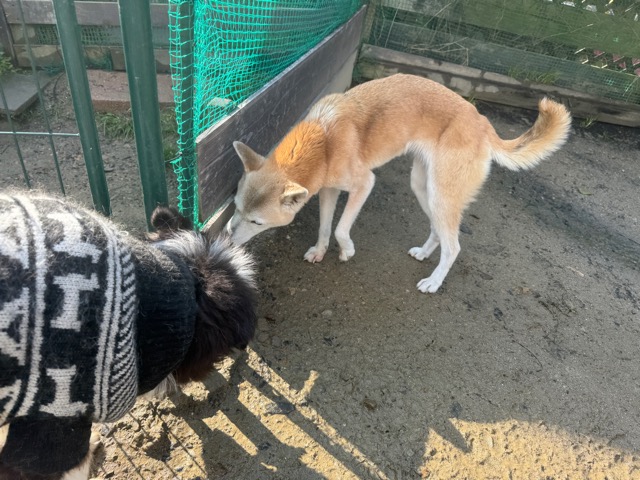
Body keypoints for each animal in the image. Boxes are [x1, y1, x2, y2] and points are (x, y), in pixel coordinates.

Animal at [226, 73, 571, 293]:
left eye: (257, 222)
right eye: (236, 208)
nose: (227, 237)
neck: (323, 139)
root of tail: (483, 122)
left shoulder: (364, 185)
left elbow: (340, 229)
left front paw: (347, 250)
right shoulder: (328, 191)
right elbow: (325, 227)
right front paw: (320, 252)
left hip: (442, 196)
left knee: (454, 246)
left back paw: (434, 282)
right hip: (424, 188)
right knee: (438, 231)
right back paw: (425, 253)